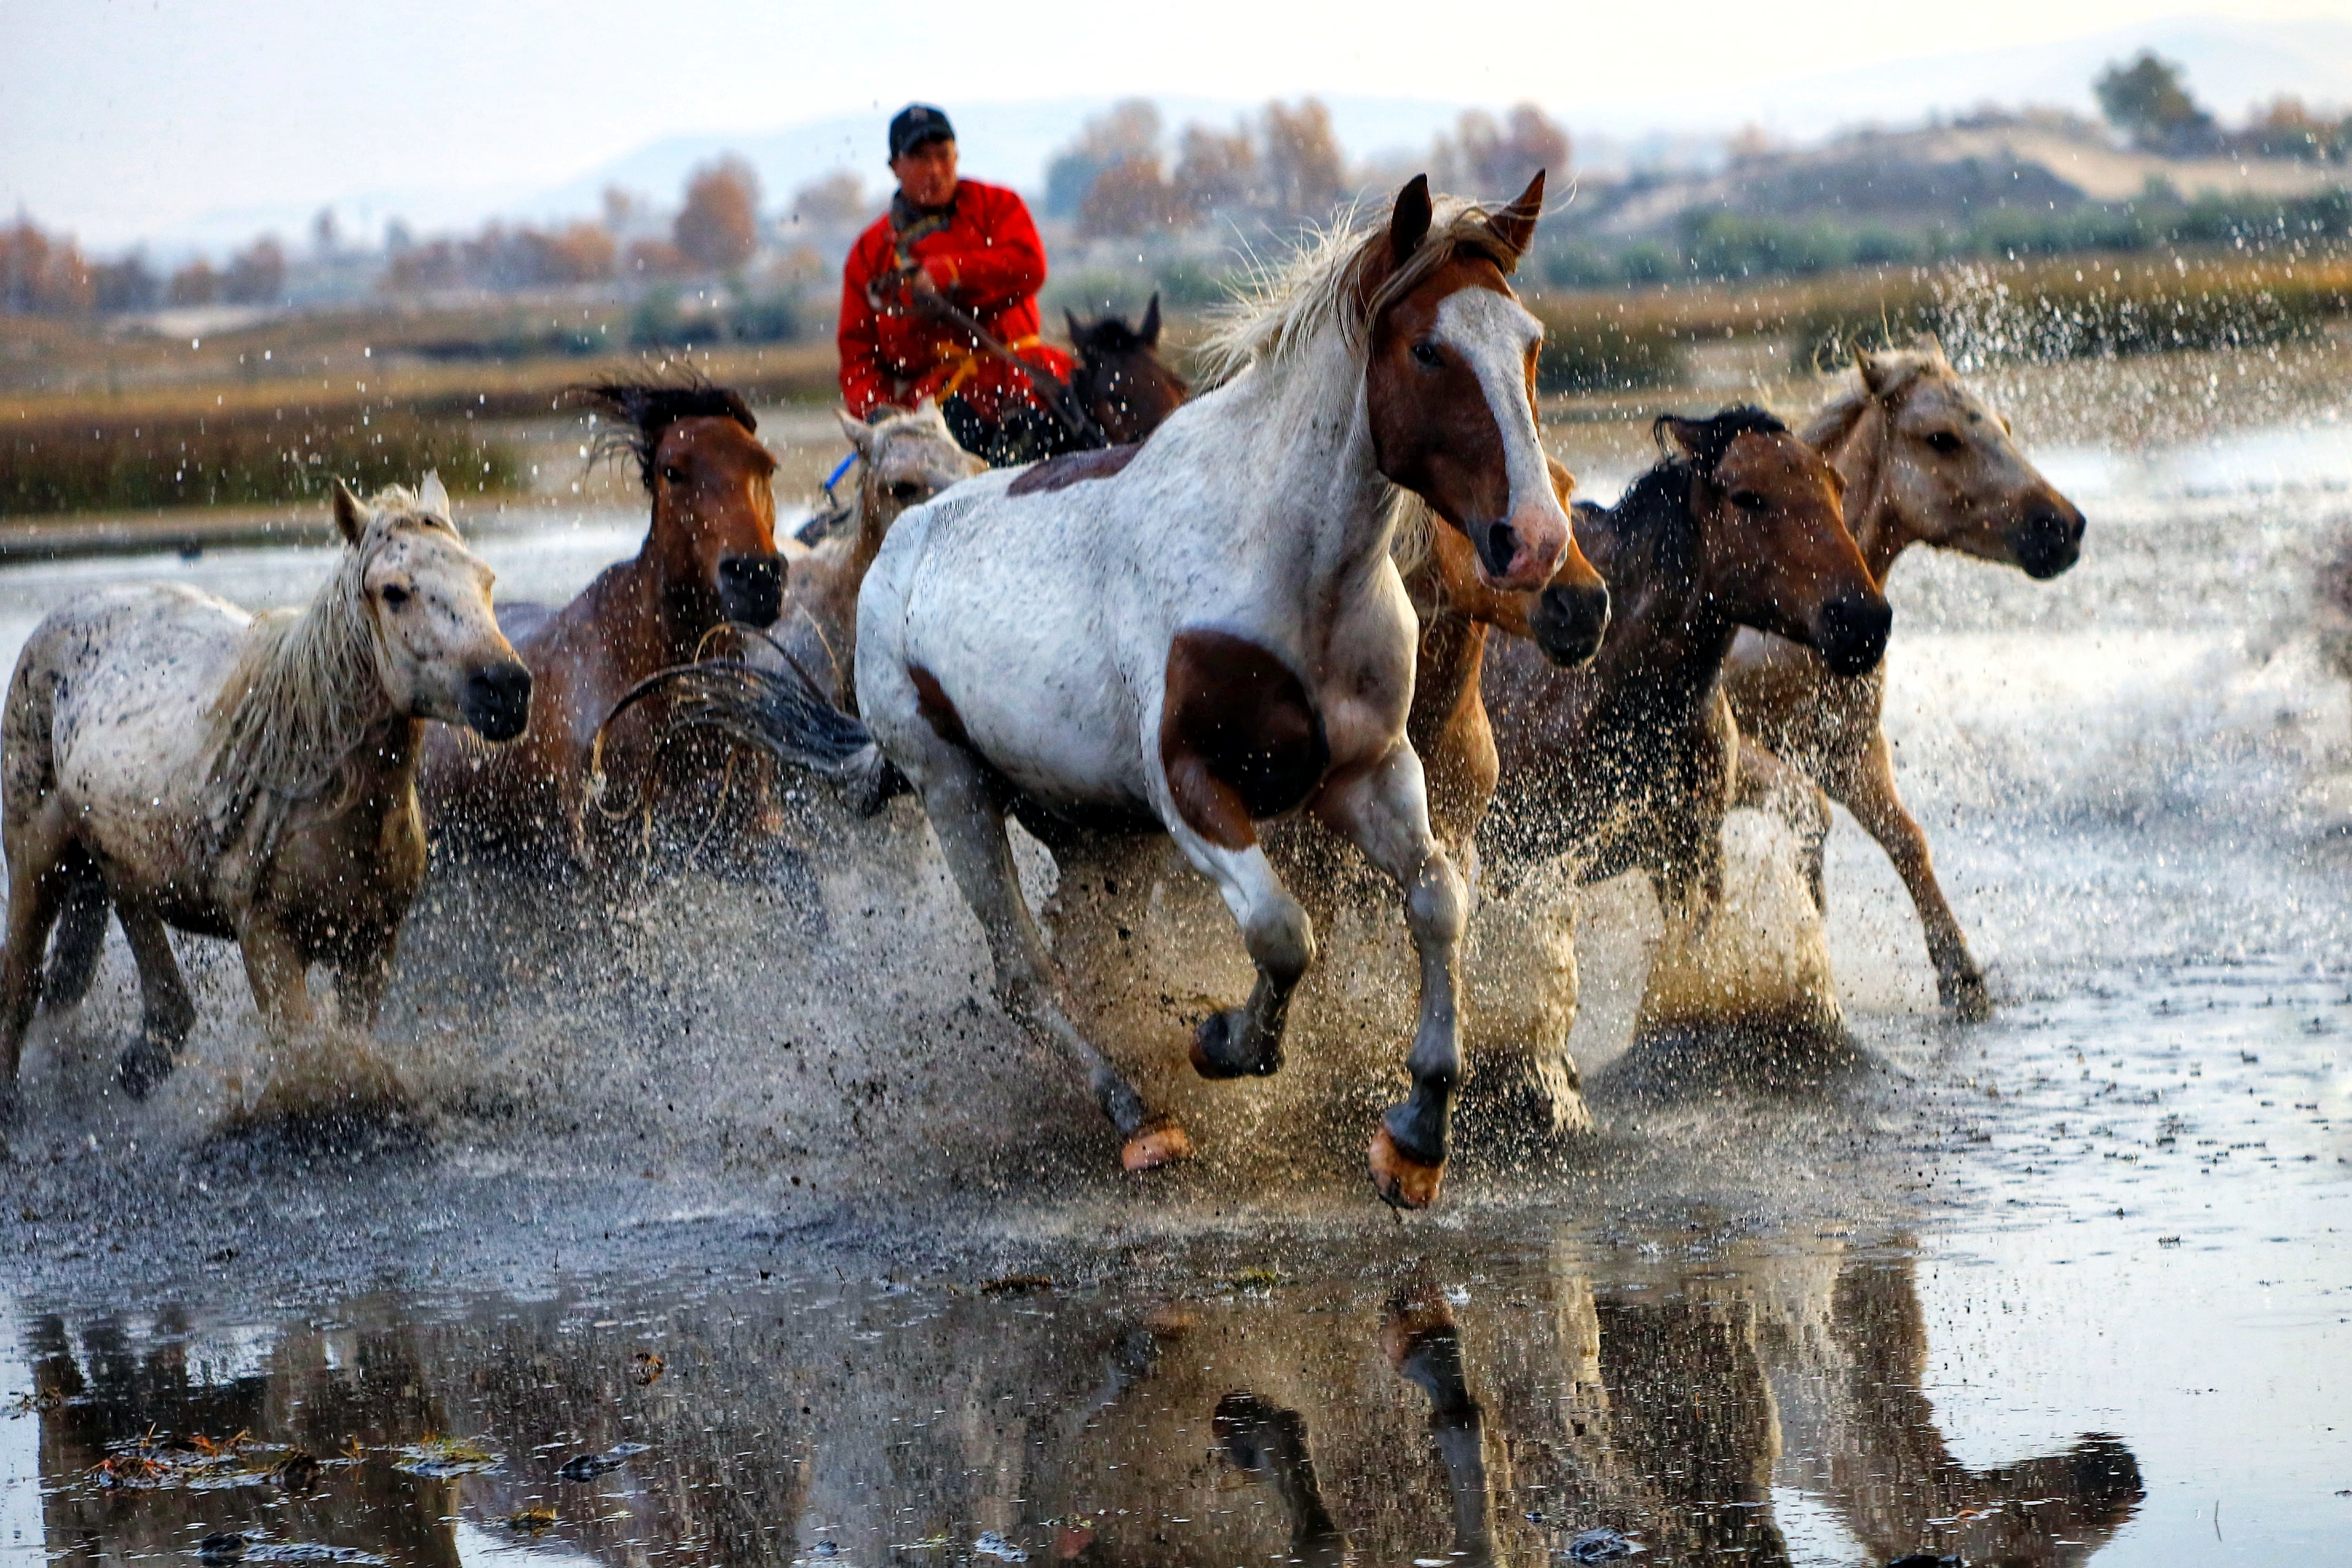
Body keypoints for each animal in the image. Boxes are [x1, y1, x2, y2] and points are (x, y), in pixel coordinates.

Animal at [0, 475, 531, 1114]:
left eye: (485, 579)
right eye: (395, 592)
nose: (507, 687)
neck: (323, 793)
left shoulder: (372, 947)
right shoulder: (267, 939)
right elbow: (307, 1061)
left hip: (113, 851)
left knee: (136, 922)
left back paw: (149, 1056)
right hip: (35, 859)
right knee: (19, 982)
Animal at [1721, 340, 2088, 1020]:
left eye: (2003, 425)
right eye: (1940, 438)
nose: (2063, 526)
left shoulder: (1850, 751)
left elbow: (1907, 839)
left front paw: (1961, 975)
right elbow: (1807, 814)